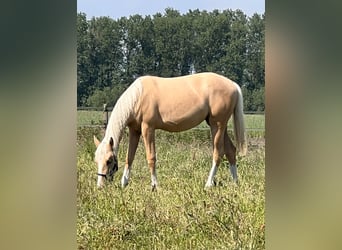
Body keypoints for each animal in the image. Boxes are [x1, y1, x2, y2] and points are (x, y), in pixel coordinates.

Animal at [93, 72, 247, 189]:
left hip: (217, 125)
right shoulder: (134, 130)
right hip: (219, 126)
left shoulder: (148, 128)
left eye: (109, 160)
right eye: (96, 160)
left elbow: (151, 157)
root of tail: (233, 85)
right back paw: (235, 183)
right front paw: (124, 183)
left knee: (218, 152)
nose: (100, 186)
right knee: (231, 151)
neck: (138, 97)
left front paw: (154, 186)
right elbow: (129, 157)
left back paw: (208, 184)